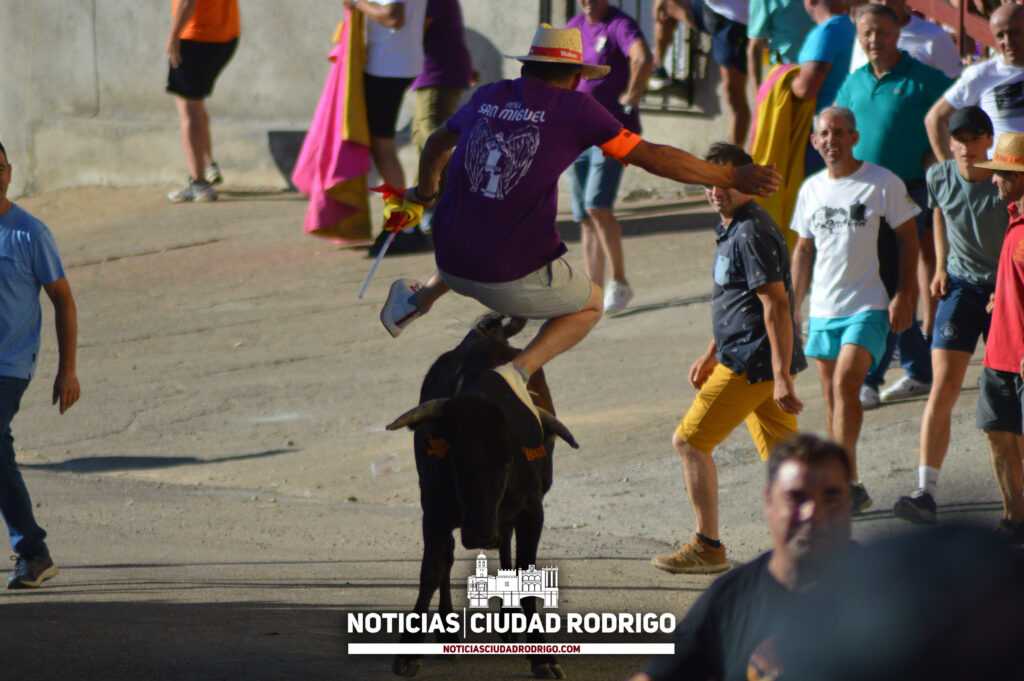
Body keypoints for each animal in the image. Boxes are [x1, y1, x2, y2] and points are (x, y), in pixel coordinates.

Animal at [385, 312, 579, 679]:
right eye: (456, 459)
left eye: (508, 461)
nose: (479, 536)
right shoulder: (433, 512)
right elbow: (431, 570)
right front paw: (409, 650)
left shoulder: (532, 511)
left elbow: (524, 571)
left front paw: (541, 656)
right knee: (448, 558)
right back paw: (449, 633)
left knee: (505, 547)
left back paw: (509, 624)